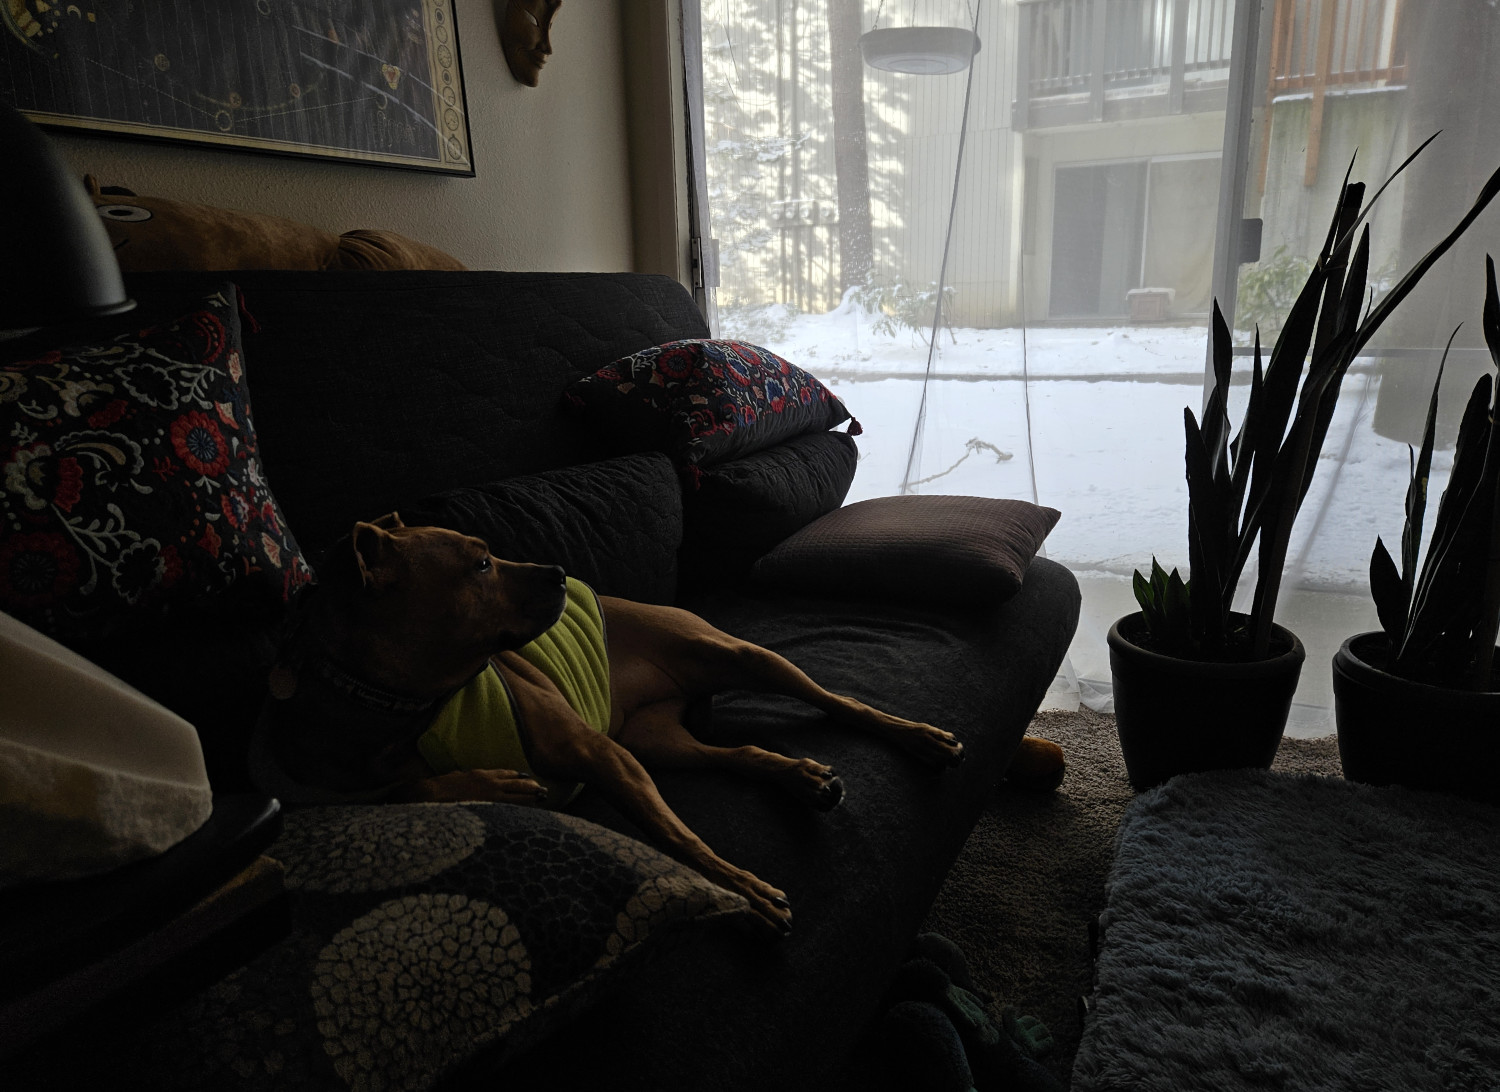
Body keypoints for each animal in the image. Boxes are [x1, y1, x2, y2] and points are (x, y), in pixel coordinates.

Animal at [258, 516, 984, 936]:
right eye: (481, 565)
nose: (559, 571)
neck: (407, 708)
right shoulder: (331, 783)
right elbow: (399, 791)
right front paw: (492, 784)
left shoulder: (598, 755)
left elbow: (681, 838)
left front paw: (740, 888)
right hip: (656, 743)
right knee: (741, 752)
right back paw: (801, 776)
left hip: (738, 658)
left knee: (841, 703)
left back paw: (918, 737)